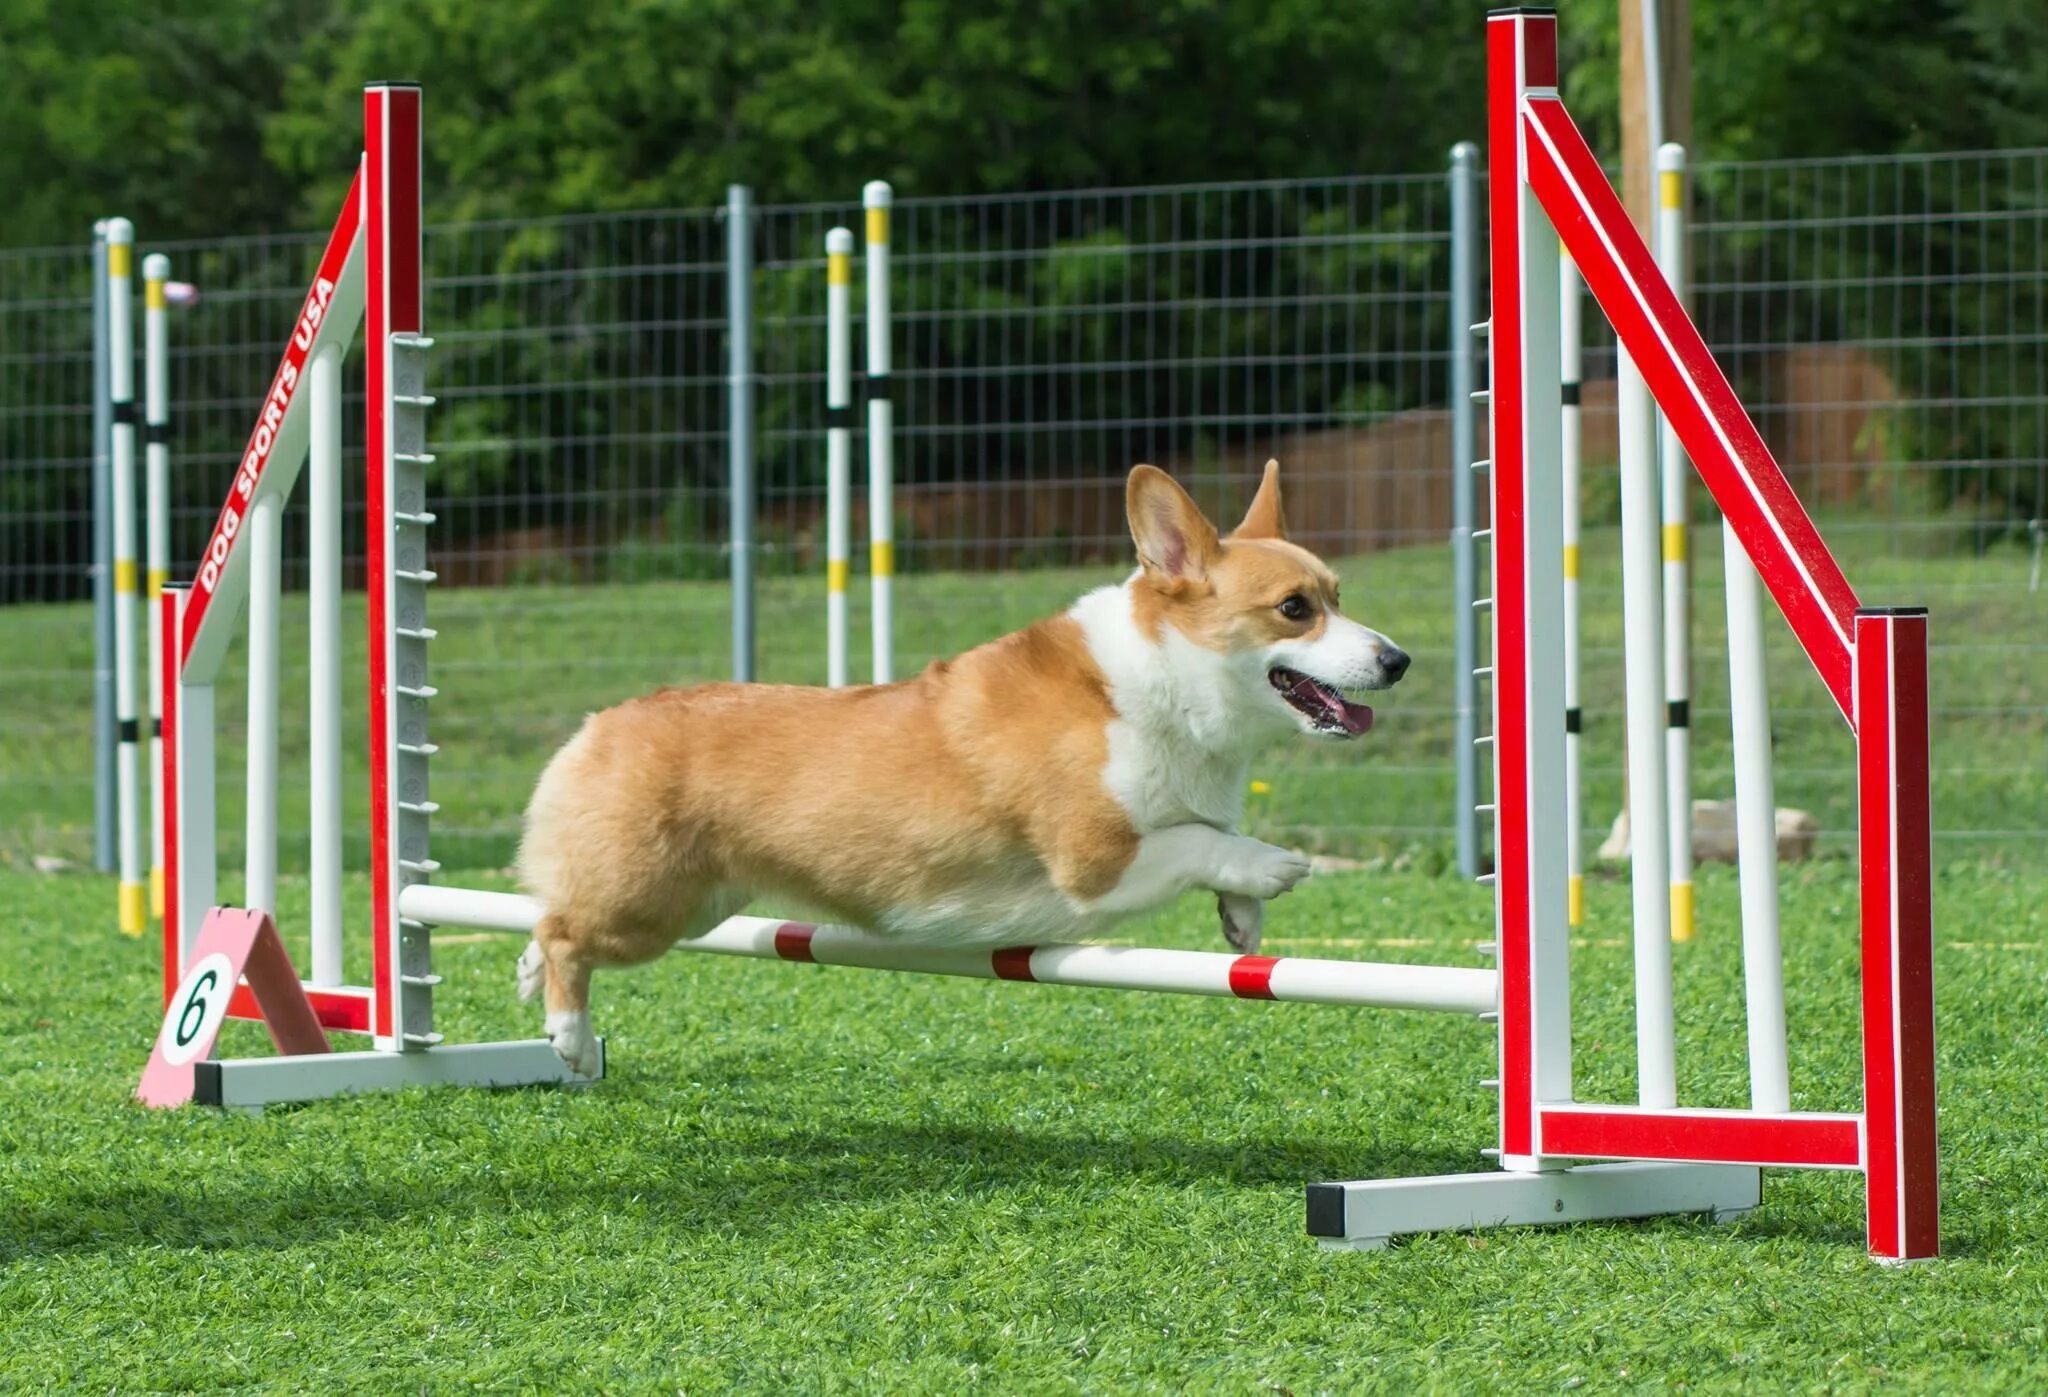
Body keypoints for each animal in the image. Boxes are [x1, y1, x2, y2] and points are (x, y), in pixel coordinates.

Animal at [512, 462, 1409, 1073]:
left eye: (1338, 593)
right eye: (1295, 608)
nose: (1398, 660)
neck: (1166, 683)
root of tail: (598, 724)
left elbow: (1212, 835)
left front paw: (1242, 918)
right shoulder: (1095, 861)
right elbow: (1199, 839)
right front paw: (1273, 867)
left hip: (700, 904)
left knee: (549, 913)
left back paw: (525, 974)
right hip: (650, 907)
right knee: (565, 934)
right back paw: (571, 1038)